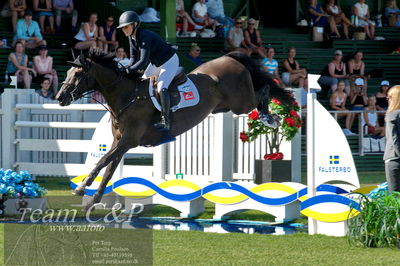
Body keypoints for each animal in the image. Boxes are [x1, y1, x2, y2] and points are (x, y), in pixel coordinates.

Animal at [56, 47, 292, 210]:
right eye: (67, 73)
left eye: (77, 75)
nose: (59, 98)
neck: (127, 96)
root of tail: (230, 57)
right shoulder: (119, 142)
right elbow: (108, 169)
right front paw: (92, 201)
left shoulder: (129, 141)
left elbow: (103, 161)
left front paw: (82, 187)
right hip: (224, 106)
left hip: (240, 103)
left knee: (264, 91)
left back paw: (270, 117)